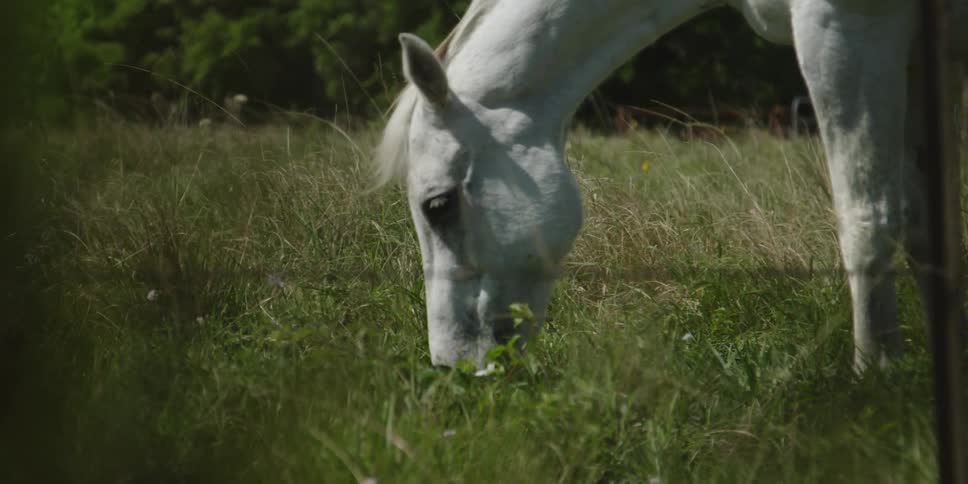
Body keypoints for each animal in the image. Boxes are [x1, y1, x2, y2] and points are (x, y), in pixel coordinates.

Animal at [375, 0, 967, 372]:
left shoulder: (848, 26)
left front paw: (875, 384)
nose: (451, 365)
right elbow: (928, 228)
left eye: (438, 205)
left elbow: (867, 220)